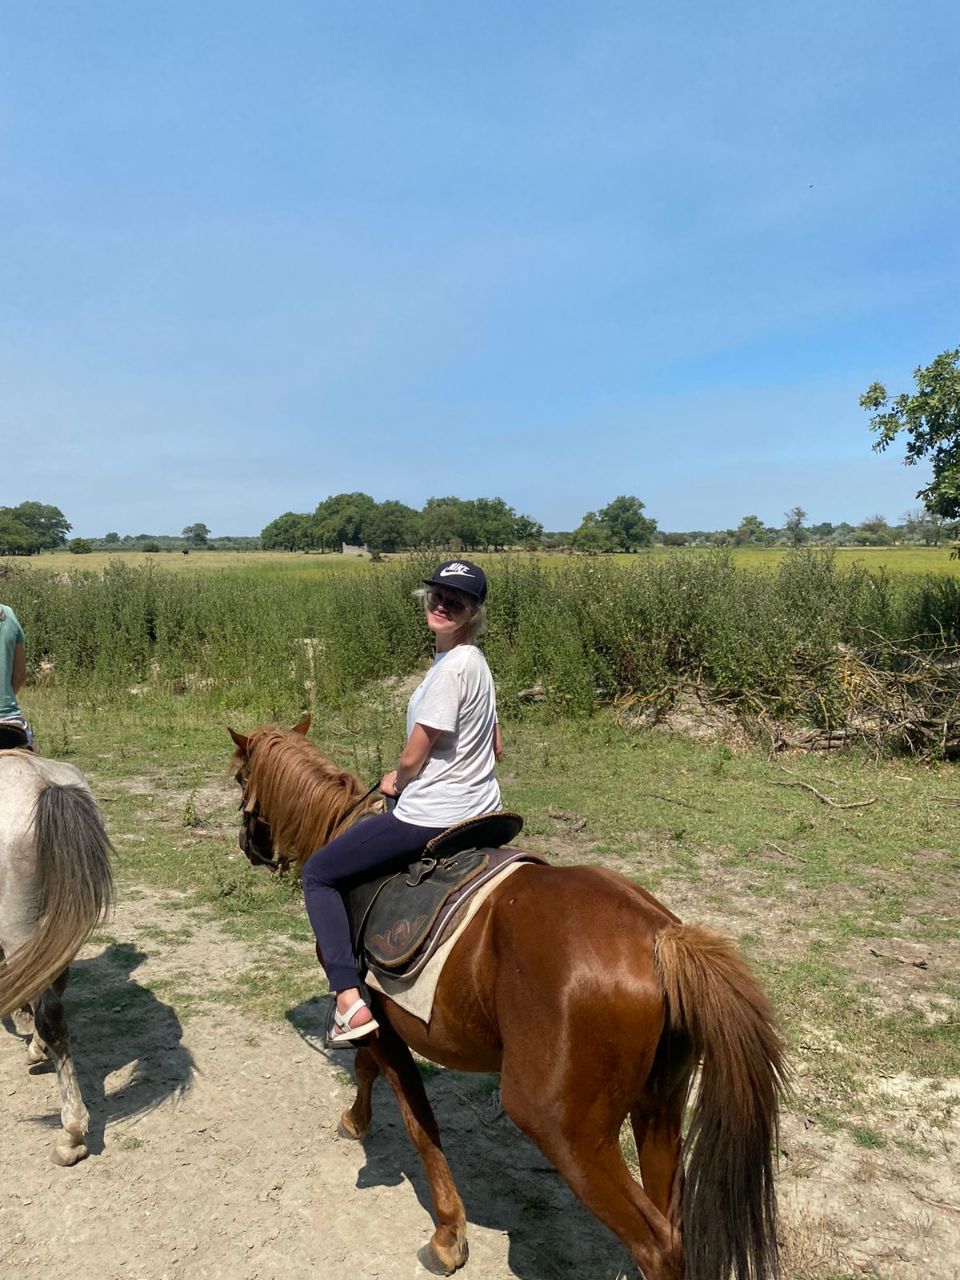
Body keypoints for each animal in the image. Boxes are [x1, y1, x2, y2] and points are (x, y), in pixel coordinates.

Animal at [228, 716, 786, 1280]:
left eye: (239, 777)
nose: (249, 848)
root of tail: (659, 935)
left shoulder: (376, 1019)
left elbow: (417, 1122)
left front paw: (447, 1235)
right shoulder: (381, 1019)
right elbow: (369, 1071)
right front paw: (355, 1120)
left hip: (563, 1131)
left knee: (659, 1244)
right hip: (659, 1107)